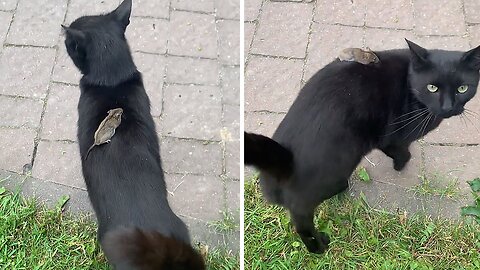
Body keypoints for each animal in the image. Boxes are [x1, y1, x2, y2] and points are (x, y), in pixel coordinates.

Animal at [248, 39, 480, 254]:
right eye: (432, 88)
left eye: (462, 88)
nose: (448, 107)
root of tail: (282, 162)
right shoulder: (390, 138)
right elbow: (400, 151)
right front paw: (401, 164)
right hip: (333, 174)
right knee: (302, 222)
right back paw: (319, 245)